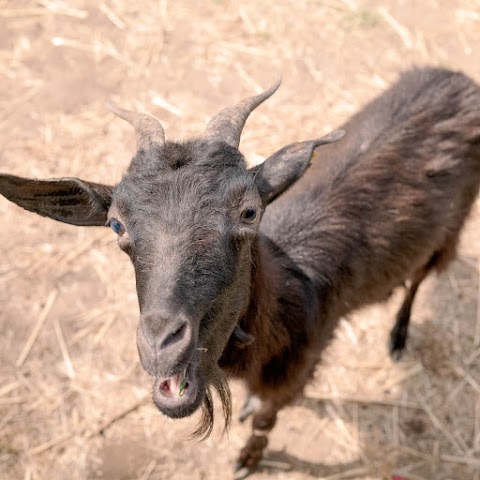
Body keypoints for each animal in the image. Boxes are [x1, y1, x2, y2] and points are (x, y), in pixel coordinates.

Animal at [0, 66, 480, 476]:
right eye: (117, 224)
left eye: (249, 211)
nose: (160, 345)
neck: (290, 291)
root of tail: (457, 77)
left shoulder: (300, 366)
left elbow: (267, 420)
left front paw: (249, 459)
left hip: (451, 229)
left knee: (419, 277)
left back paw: (398, 336)